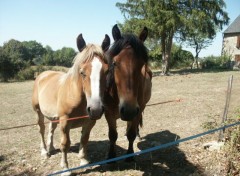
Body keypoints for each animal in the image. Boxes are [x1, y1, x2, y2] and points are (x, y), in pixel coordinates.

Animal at [31, 33, 109, 173]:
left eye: (107, 71)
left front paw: (83, 161)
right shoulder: (65, 122)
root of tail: (42, 75)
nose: (95, 109)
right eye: (82, 72)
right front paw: (65, 168)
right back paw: (44, 151)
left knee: (51, 129)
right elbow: (65, 144)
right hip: (38, 112)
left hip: (53, 116)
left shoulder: (89, 122)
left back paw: (51, 148)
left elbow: (84, 140)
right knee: (41, 129)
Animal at [105, 24, 152, 161]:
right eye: (114, 63)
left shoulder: (137, 110)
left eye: (142, 64)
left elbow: (131, 134)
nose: (128, 110)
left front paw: (130, 154)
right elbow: (112, 135)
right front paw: (111, 156)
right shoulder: (108, 113)